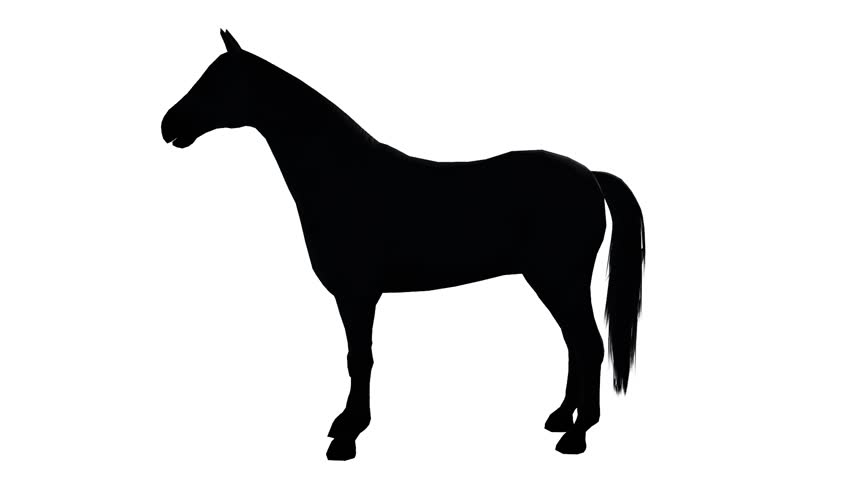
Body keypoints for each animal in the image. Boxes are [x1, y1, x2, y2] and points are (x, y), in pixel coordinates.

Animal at [161, 30, 645, 461]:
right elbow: (358, 358)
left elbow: (360, 359)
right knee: (574, 344)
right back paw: (562, 418)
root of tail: (589, 176)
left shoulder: (356, 294)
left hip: (560, 280)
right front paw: (345, 424)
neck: (343, 177)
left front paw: (348, 437)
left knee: (588, 345)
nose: (169, 125)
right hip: (553, 282)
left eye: (217, 82)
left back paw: (577, 436)